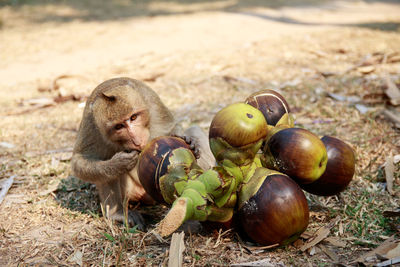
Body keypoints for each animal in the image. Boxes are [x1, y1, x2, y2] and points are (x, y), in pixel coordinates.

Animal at [70, 77, 214, 230]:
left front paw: (190, 141)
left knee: (194, 129)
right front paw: (118, 164)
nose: (136, 140)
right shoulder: (91, 125)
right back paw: (117, 213)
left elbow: (171, 129)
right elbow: (80, 160)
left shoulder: (153, 102)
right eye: (119, 126)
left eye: (133, 117)